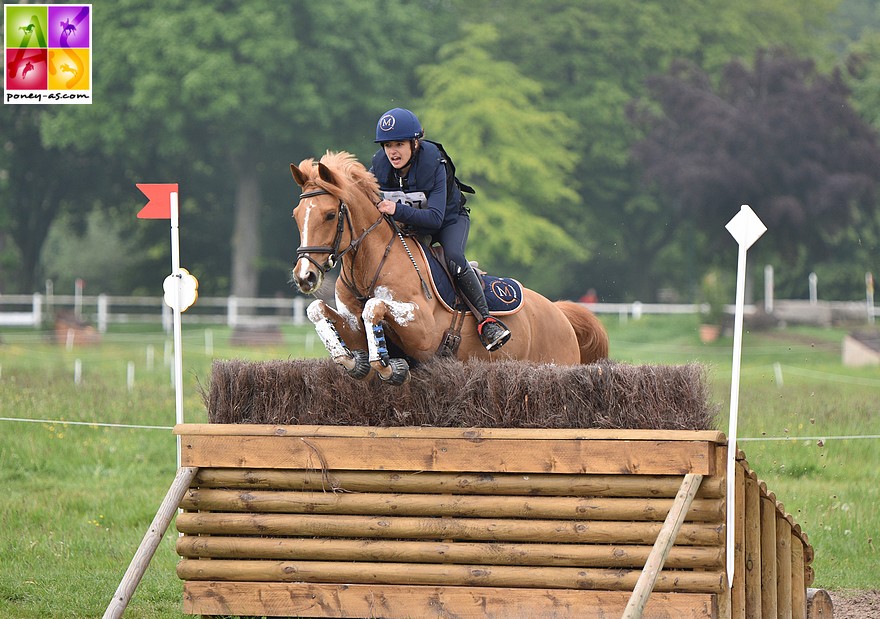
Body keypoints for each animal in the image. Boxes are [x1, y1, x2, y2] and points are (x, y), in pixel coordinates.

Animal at [288, 153, 604, 386]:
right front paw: (351, 360)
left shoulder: (423, 333)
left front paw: (388, 366)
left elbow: (373, 307)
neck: (369, 266)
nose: (305, 276)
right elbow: (318, 310)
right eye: (296, 215)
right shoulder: (353, 327)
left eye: (330, 215)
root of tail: (559, 312)